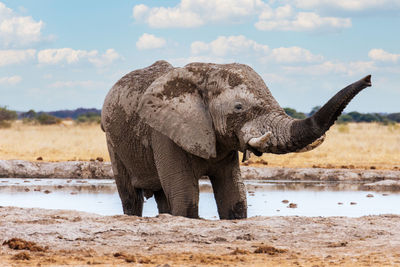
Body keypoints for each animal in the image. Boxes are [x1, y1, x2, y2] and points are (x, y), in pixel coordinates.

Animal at [101, 60, 372, 220]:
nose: (369, 78)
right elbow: (185, 197)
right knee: (130, 196)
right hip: (111, 140)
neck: (205, 73)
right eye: (239, 107)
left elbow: (235, 197)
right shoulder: (164, 133)